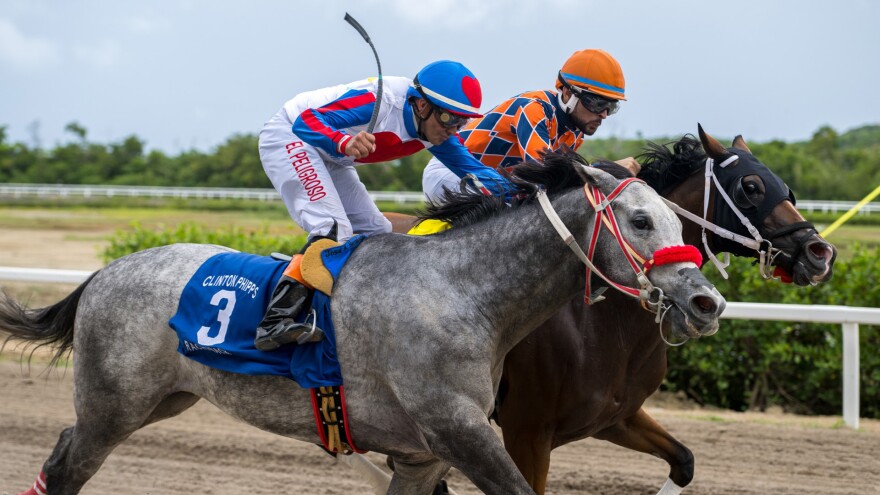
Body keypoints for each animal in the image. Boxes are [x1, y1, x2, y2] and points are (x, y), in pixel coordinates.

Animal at [3, 151, 726, 495]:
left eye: (678, 219)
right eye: (640, 220)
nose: (706, 303)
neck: (466, 293)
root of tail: (103, 272)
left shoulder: (425, 455)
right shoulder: (471, 433)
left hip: (162, 399)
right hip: (112, 407)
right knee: (65, 469)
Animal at [493, 126, 837, 494]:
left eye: (786, 187)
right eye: (750, 187)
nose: (820, 253)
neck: (599, 324)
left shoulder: (614, 416)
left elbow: (684, 462)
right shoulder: (527, 432)